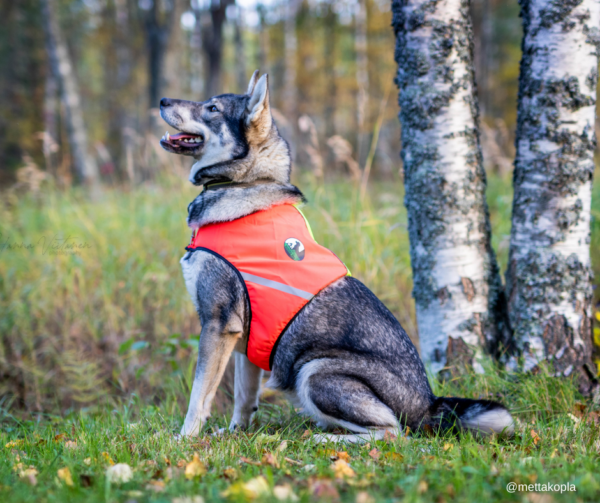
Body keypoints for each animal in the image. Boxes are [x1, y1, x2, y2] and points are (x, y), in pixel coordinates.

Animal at [158, 70, 510, 440]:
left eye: (212, 108)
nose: (162, 100)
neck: (244, 185)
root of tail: (428, 406)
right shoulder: (244, 338)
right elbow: (243, 397)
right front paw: (235, 433)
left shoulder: (219, 324)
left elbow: (199, 395)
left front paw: (185, 439)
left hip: (314, 370)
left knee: (391, 432)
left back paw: (322, 436)